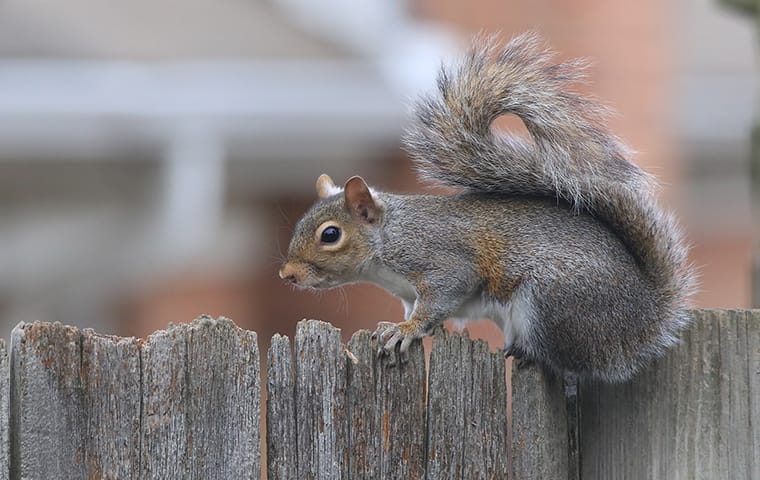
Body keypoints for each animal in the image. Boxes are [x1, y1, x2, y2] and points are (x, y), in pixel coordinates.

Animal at [278, 32, 696, 382]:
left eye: (330, 235)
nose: (288, 275)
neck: (387, 240)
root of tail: (644, 320)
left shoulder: (439, 259)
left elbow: (444, 294)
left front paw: (406, 331)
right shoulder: (407, 292)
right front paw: (395, 327)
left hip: (551, 300)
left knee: (567, 360)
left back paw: (530, 353)